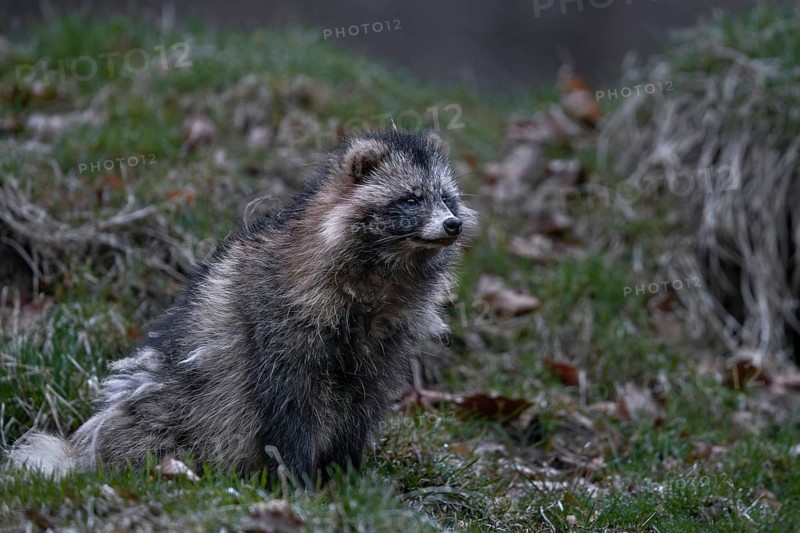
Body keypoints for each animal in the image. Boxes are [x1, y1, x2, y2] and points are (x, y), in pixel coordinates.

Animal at [6, 130, 477, 482]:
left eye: (447, 198)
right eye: (411, 198)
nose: (452, 224)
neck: (386, 275)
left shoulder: (385, 342)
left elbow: (363, 402)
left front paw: (345, 472)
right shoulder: (281, 321)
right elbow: (287, 404)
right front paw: (296, 475)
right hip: (163, 407)